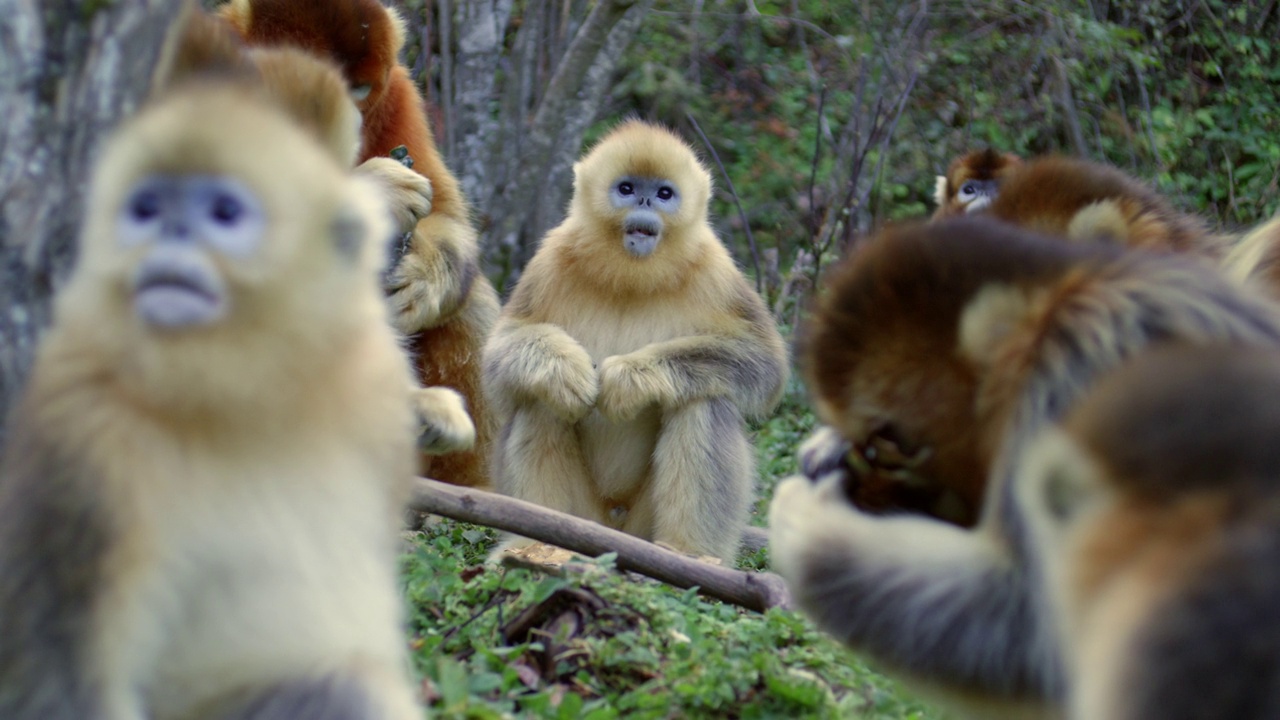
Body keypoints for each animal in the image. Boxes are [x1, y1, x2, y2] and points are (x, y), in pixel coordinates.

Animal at [220, 0, 499, 486]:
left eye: (360, 88)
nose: (349, 121)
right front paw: (376, 190)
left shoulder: (398, 91)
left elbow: (445, 215)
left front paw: (422, 279)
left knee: (467, 306)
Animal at [483, 119, 788, 561]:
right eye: (626, 188)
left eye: (664, 193)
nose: (644, 200)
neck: (632, 278)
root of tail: (615, 524)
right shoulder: (550, 259)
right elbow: (497, 361)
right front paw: (567, 369)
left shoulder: (715, 266)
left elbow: (765, 364)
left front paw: (629, 379)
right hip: (586, 518)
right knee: (540, 398)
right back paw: (532, 544)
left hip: (641, 528)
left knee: (704, 399)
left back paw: (686, 554)